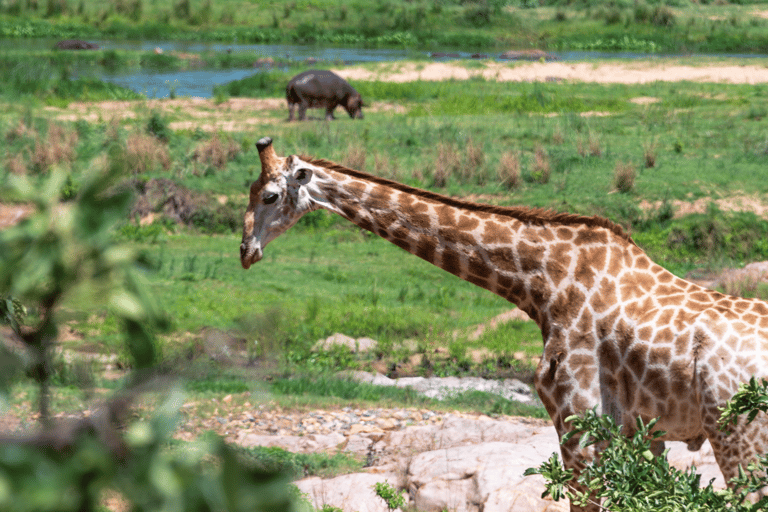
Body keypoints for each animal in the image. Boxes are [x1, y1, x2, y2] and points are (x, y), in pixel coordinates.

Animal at [240, 137, 768, 512]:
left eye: (269, 195)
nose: (246, 252)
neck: (541, 284)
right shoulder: (640, 432)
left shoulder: (579, 421)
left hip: (738, 433)